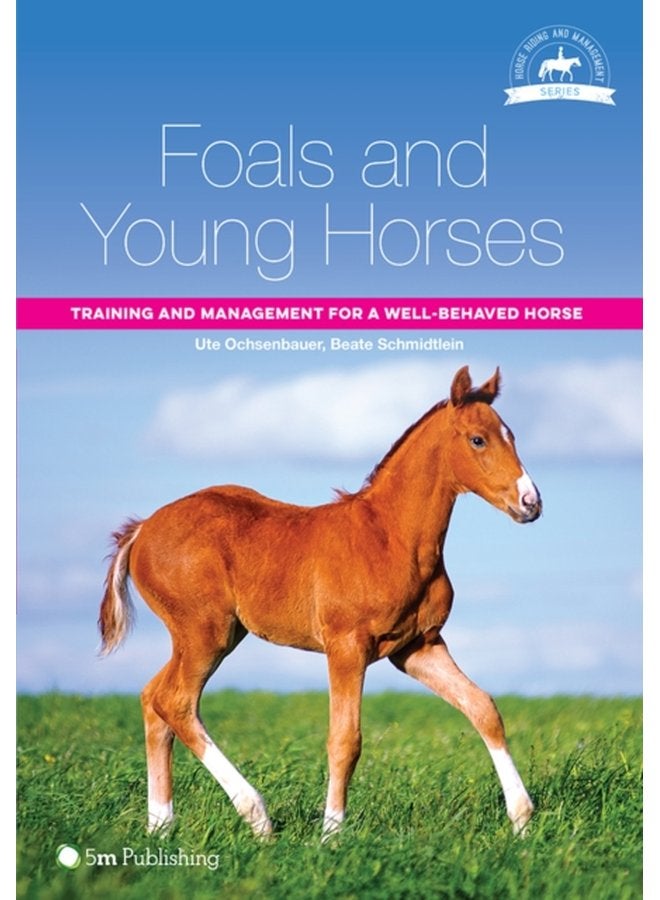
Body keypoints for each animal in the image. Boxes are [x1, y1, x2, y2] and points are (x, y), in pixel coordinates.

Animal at [99, 366, 542, 840]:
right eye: (478, 439)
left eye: (512, 435)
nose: (531, 503)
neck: (390, 537)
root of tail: (142, 529)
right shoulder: (346, 647)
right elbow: (345, 739)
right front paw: (331, 833)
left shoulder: (417, 647)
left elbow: (483, 708)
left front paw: (521, 819)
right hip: (204, 632)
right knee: (175, 702)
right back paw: (256, 816)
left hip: (211, 635)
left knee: (153, 699)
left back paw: (160, 825)